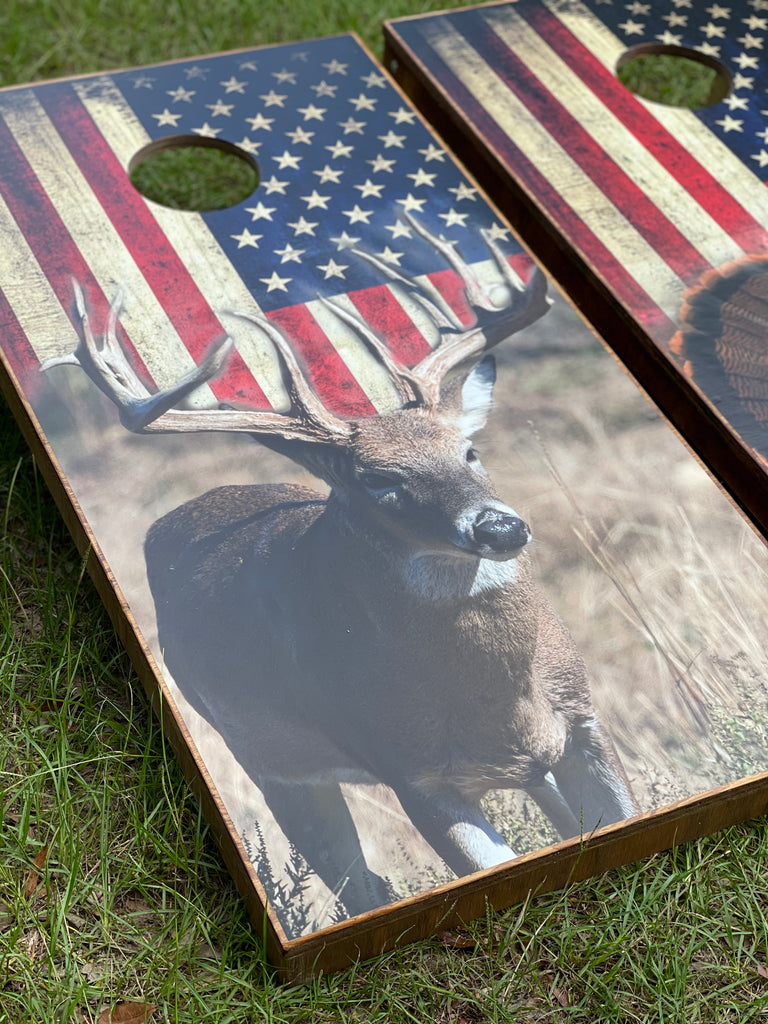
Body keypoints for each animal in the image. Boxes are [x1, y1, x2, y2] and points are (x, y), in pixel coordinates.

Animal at [45, 218, 638, 929]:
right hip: (270, 762)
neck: (497, 695)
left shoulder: (581, 721)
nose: (499, 529)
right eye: (381, 482)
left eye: (469, 450)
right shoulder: (409, 771)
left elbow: (610, 820)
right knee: (359, 885)